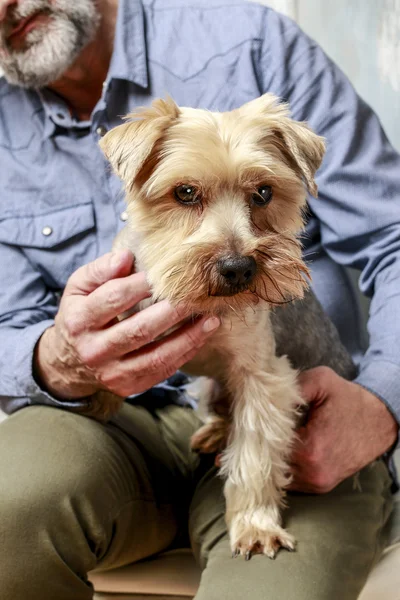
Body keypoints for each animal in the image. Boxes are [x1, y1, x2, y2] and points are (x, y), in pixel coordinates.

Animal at [97, 94, 334, 556]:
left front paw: (255, 524)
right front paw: (95, 394)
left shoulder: (262, 373)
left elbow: (255, 449)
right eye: (185, 192)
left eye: (264, 193)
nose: (238, 268)